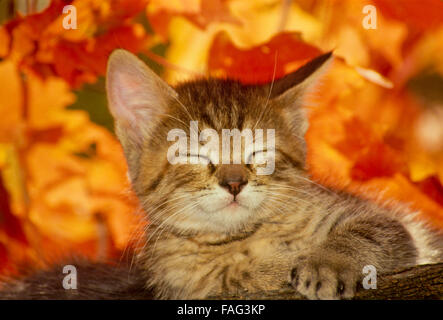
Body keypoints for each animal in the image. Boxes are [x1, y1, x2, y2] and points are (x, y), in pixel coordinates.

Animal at [0, 50, 443, 300]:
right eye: (195, 153)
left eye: (259, 152)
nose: (234, 182)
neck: (240, 242)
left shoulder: (393, 224)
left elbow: (372, 231)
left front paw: (328, 263)